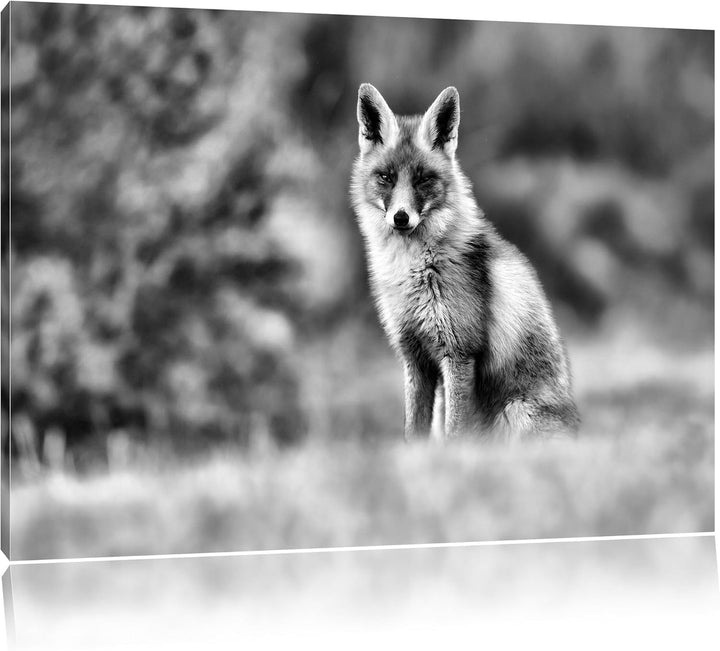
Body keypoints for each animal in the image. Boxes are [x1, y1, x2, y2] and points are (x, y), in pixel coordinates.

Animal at [350, 84, 580, 442]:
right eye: (386, 177)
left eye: (423, 180)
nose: (401, 218)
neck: (414, 270)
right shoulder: (414, 357)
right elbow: (413, 433)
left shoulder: (458, 353)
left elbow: (455, 433)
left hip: (516, 412)